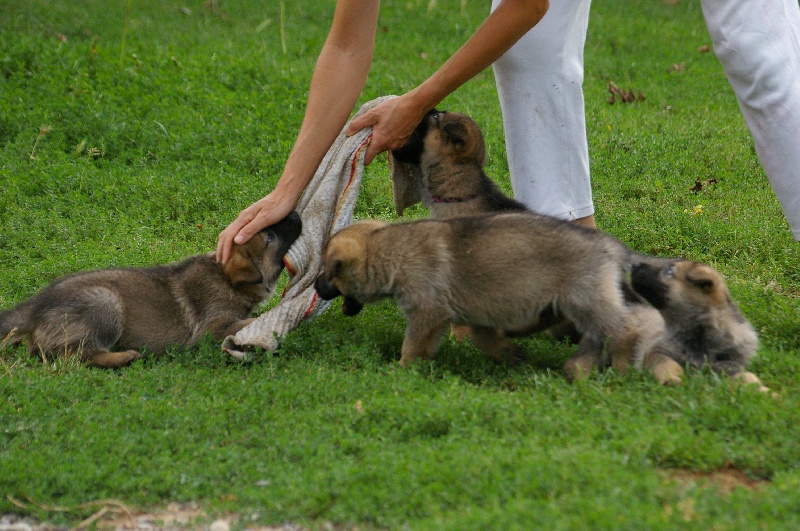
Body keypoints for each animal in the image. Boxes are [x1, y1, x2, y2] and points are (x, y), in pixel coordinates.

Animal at [0, 212, 300, 366]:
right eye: (270, 236)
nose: (295, 213)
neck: (224, 278)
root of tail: (37, 306)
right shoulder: (211, 329)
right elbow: (246, 321)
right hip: (105, 302)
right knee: (74, 356)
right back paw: (125, 356)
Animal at [312, 214, 648, 368]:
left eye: (328, 272)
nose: (314, 285)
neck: (392, 253)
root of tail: (609, 247)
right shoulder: (462, 316)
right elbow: (482, 340)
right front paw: (509, 354)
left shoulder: (426, 312)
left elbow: (411, 345)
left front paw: (401, 369)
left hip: (586, 299)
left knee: (628, 327)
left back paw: (623, 367)